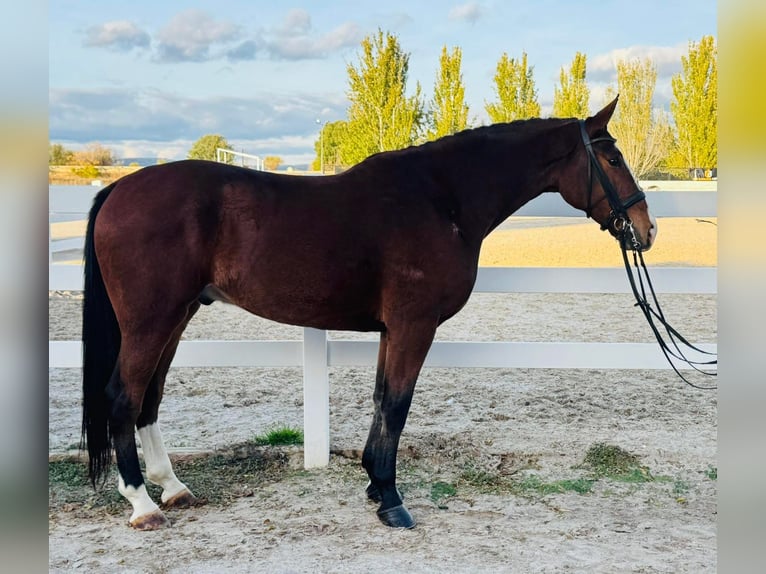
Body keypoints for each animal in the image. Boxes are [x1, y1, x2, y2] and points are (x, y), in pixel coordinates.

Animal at [81, 96, 657, 530]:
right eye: (611, 159)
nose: (646, 230)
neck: (441, 198)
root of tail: (119, 188)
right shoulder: (413, 327)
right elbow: (397, 407)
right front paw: (393, 502)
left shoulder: (391, 331)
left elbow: (382, 401)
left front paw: (376, 487)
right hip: (151, 321)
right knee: (124, 397)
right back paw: (142, 504)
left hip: (176, 317)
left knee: (149, 398)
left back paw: (173, 487)